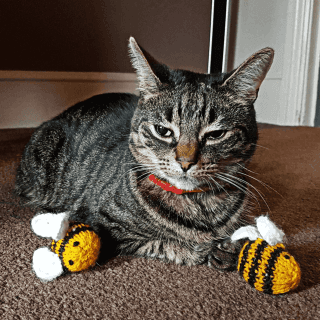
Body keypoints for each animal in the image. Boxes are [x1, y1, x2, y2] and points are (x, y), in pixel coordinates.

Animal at [15, 37, 274, 272]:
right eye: (163, 131)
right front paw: (205, 249)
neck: (199, 204)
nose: (185, 162)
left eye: (216, 134)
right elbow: (167, 244)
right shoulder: (105, 225)